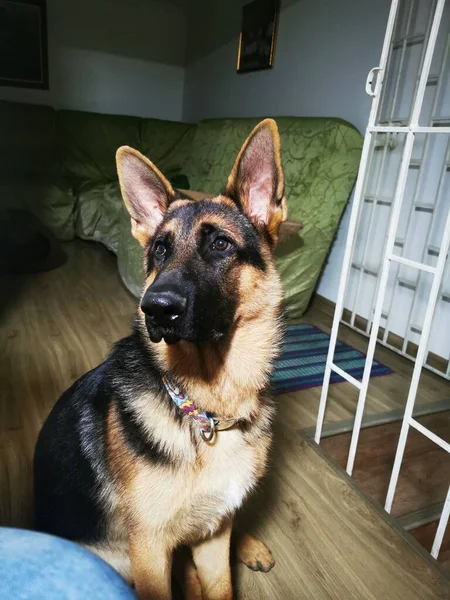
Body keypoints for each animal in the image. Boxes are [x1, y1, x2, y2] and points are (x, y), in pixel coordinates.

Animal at [35, 118, 288, 600]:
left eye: (221, 245)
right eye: (159, 251)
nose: (155, 308)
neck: (207, 409)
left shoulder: (213, 536)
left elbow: (221, 585)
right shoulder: (150, 551)